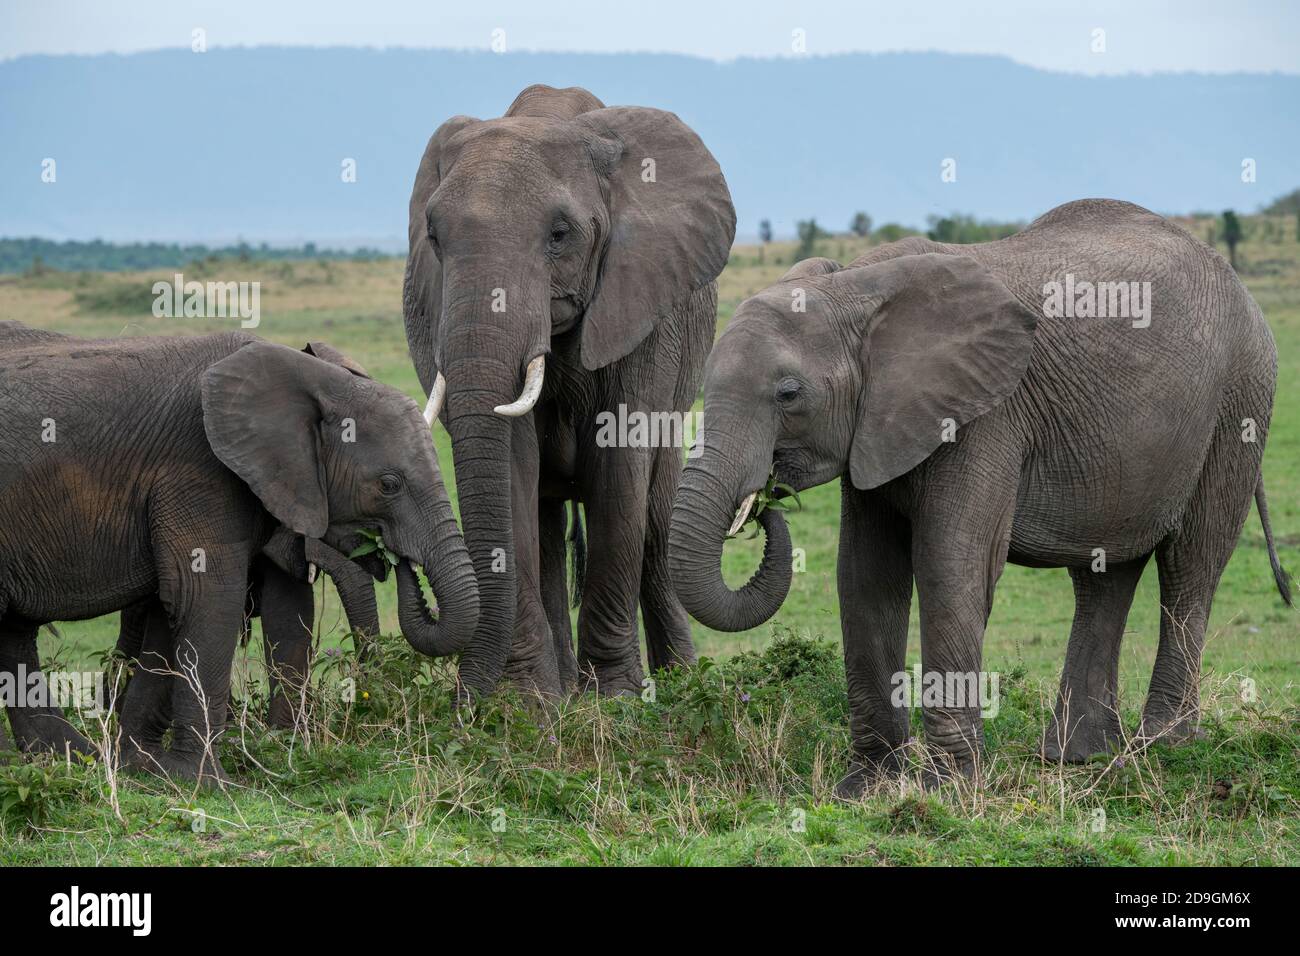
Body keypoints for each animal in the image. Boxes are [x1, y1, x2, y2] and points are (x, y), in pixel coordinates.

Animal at [0, 325, 478, 780]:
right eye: (388, 484)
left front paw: (146, 767)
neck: (312, 378)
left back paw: (68, 759)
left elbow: (227, 610)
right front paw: (205, 781)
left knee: (15, 634)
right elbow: (205, 599)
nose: (399, 561)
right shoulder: (197, 471)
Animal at [400, 83, 738, 697]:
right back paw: (561, 691)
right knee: (547, 519)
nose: (463, 699)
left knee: (656, 517)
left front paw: (617, 698)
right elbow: (512, 467)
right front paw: (524, 703)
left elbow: (619, 467)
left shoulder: (642, 310)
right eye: (434, 237)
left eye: (560, 236)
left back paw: (679, 683)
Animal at [670, 196, 1289, 790]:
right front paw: (864, 788)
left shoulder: (984, 415)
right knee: (1105, 574)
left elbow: (950, 566)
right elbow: (865, 575)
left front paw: (948, 789)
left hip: (1240, 401)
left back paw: (1162, 748)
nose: (766, 503)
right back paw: (1078, 757)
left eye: (789, 394)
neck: (854, 290)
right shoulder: (877, 427)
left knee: (1192, 562)